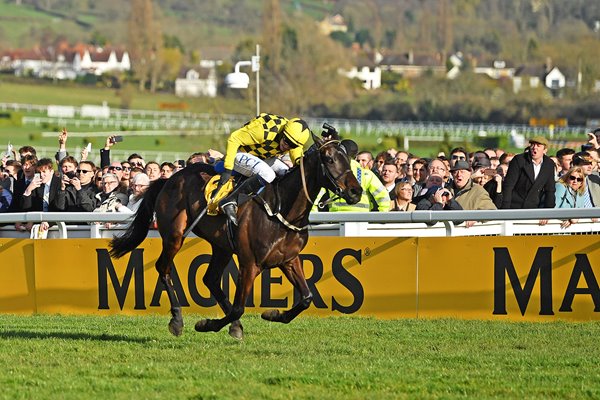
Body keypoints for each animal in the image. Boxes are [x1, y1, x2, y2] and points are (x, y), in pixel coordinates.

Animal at [108, 134, 360, 338]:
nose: (355, 191)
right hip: (174, 235)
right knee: (164, 268)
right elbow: (240, 307)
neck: (281, 208)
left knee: (210, 279)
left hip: (222, 246)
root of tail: (169, 179)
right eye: (329, 159)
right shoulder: (249, 263)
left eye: (349, 159)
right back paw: (177, 319)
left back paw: (232, 324)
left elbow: (306, 298)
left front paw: (273, 314)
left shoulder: (288, 259)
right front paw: (206, 324)